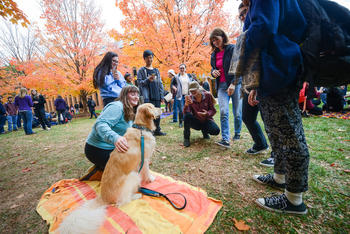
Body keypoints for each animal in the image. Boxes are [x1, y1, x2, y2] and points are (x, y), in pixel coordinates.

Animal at [58, 103, 160, 234]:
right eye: (153, 107)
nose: (161, 108)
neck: (141, 128)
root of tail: (103, 198)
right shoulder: (145, 159)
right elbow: (146, 172)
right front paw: (151, 179)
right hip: (133, 176)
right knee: (123, 201)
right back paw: (136, 195)